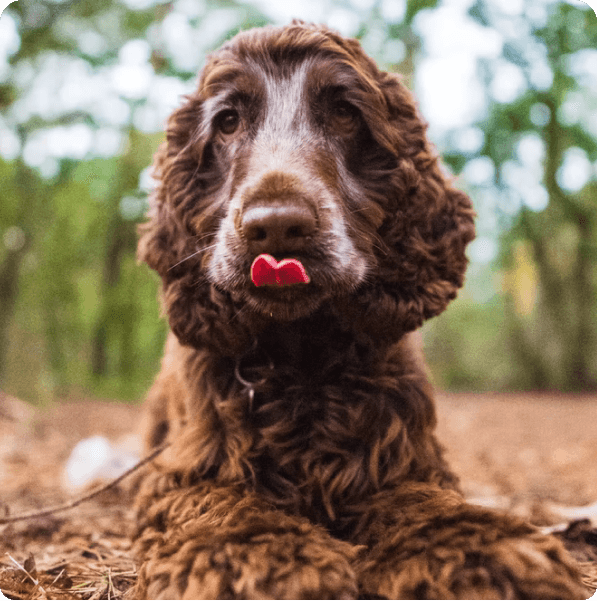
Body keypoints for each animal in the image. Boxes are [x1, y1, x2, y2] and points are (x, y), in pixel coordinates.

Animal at [132, 21, 588, 600]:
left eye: (345, 113)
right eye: (228, 121)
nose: (275, 227)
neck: (303, 356)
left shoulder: (404, 461)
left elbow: (424, 502)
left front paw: (481, 547)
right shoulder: (181, 471)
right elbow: (220, 500)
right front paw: (249, 553)